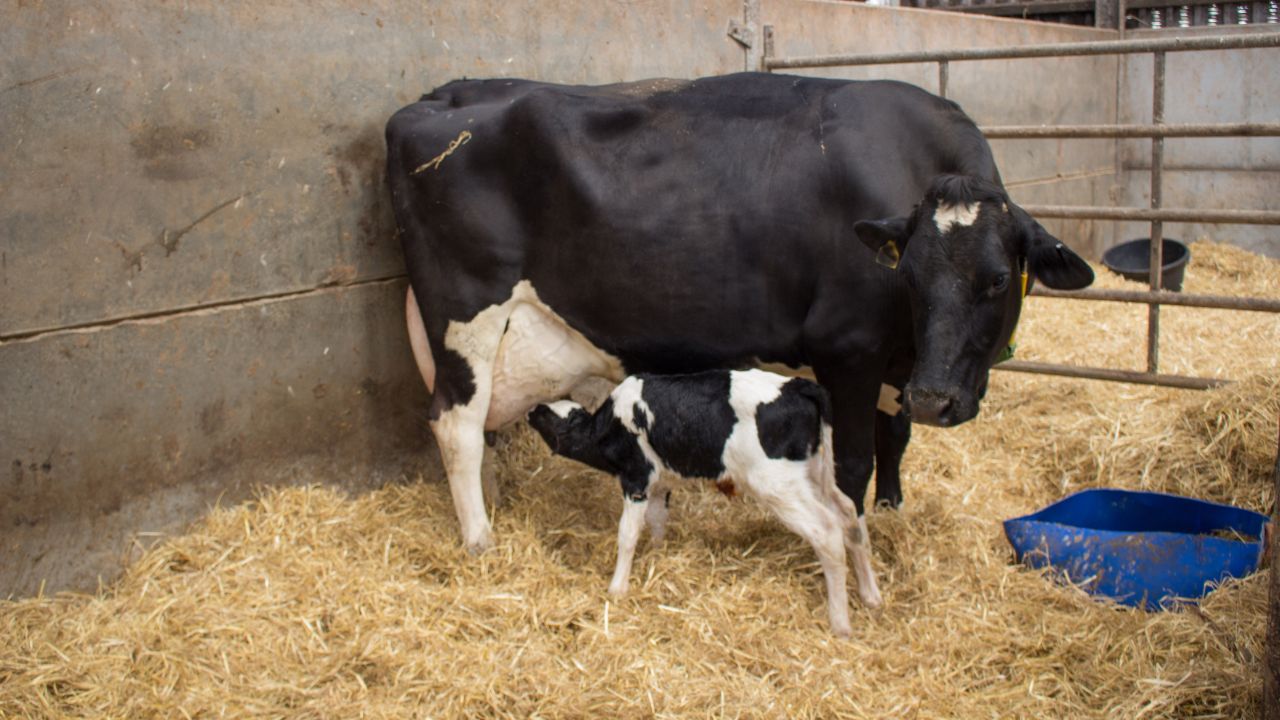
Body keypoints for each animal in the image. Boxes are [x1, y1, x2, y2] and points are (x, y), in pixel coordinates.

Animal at [385, 72, 1094, 561]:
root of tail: (445, 94)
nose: (937, 400)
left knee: (480, 431)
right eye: (911, 277)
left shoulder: (899, 365)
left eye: (996, 280)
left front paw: (893, 512)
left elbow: (895, 440)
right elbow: (853, 464)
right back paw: (480, 539)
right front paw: (857, 539)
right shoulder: (850, 351)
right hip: (465, 314)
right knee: (456, 424)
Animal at [526, 369, 877, 637]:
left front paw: (617, 588)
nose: (530, 410)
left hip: (777, 483)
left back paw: (840, 623)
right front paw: (658, 554)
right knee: (849, 513)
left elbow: (627, 534)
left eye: (545, 414)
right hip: (814, 472)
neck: (610, 425)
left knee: (827, 531)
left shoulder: (636, 477)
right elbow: (657, 521)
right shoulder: (660, 482)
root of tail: (799, 385)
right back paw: (870, 595)